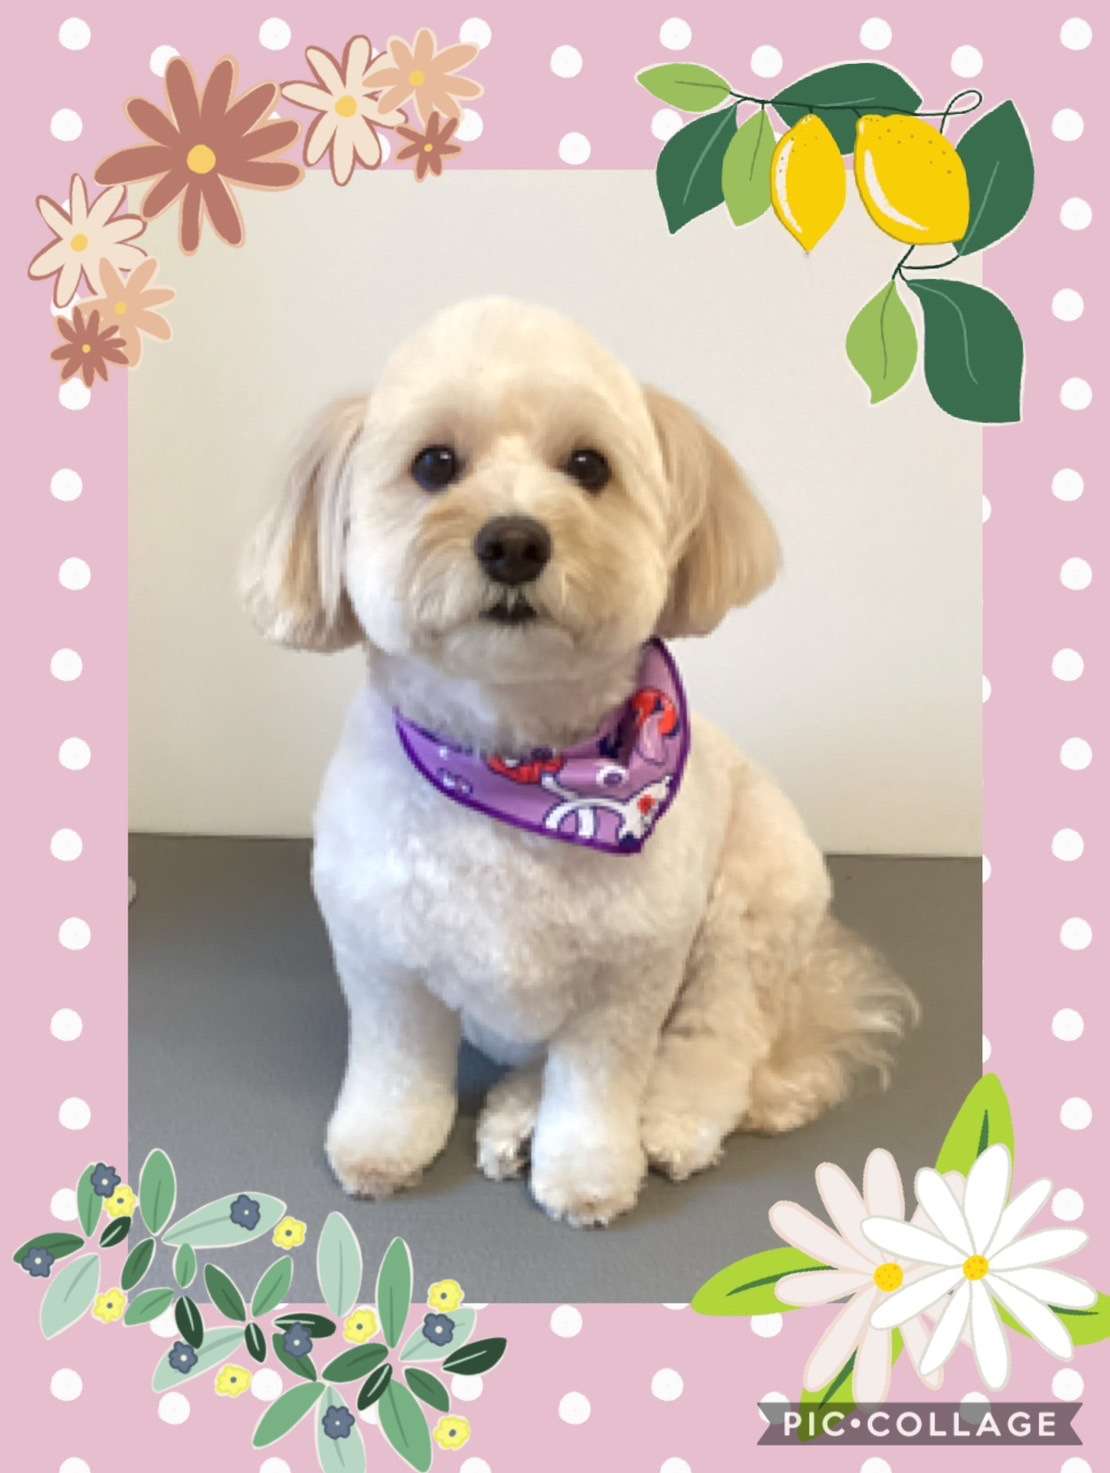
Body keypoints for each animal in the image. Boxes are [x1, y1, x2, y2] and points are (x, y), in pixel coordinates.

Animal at [242, 297, 916, 1227]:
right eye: (434, 463)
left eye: (589, 465)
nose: (514, 541)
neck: (518, 763)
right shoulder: (383, 963)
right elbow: (396, 1072)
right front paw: (382, 1147)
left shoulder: (625, 986)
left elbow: (597, 1091)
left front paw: (589, 1173)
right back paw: (511, 1118)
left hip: (750, 905)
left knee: (719, 1038)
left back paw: (668, 1122)